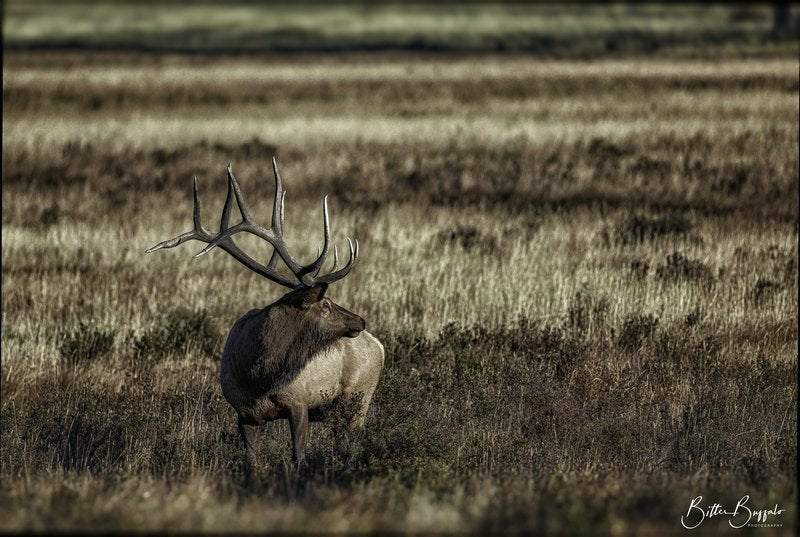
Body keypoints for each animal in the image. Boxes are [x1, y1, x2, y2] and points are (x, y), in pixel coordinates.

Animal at [146, 158, 384, 469]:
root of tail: (379, 345)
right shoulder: (244, 414)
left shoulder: (299, 402)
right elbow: (252, 461)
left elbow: (299, 457)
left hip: (360, 397)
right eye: (326, 304)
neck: (257, 375)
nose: (359, 319)